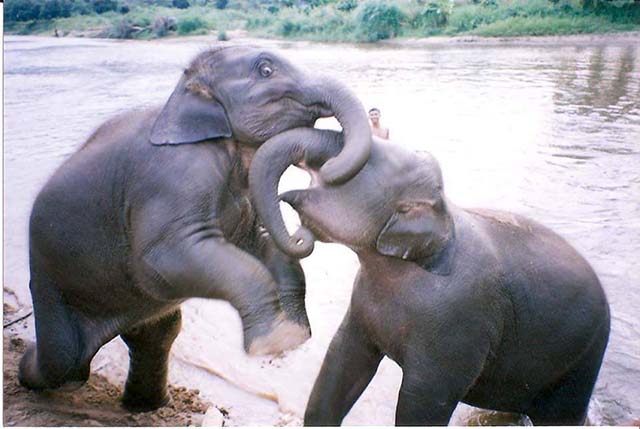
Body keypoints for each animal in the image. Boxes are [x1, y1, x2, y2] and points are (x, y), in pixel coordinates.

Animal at [18, 46, 372, 412]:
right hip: (50, 281)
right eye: (265, 70)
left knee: (154, 335)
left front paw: (294, 334)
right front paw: (276, 342)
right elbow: (161, 260)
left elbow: (259, 244)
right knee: (66, 363)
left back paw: (144, 405)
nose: (303, 233)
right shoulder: (173, 178)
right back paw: (29, 364)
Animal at [249, 128, 611, 426]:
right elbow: (342, 363)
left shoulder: (459, 323)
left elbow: (423, 401)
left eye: (361, 163)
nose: (298, 237)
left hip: (582, 361)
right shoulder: (363, 306)